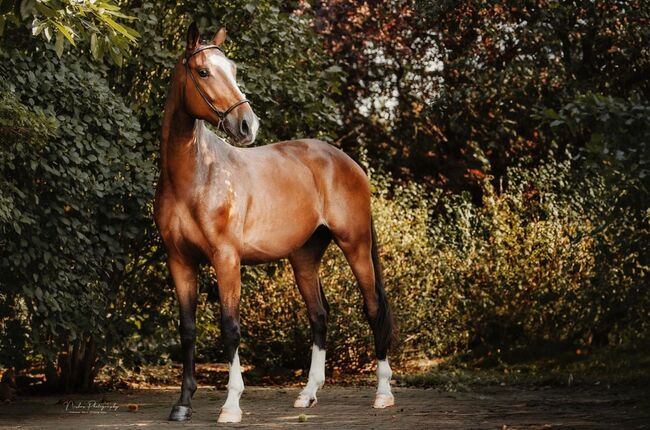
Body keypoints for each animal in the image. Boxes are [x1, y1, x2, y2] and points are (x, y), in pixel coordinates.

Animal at [154, 23, 394, 424]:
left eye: (233, 70)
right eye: (203, 71)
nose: (247, 124)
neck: (195, 176)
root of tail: (347, 161)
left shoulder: (226, 258)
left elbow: (231, 328)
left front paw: (231, 404)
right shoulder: (180, 261)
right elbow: (187, 330)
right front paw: (183, 404)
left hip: (356, 245)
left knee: (373, 308)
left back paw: (383, 393)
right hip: (304, 258)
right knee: (319, 315)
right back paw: (308, 394)